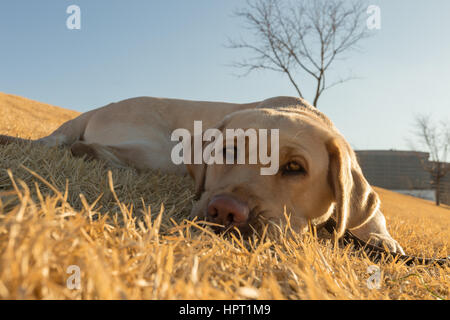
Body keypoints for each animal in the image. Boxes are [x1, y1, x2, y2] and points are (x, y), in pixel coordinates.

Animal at [0, 95, 404, 252]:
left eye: (294, 168)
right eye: (229, 150)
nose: (225, 211)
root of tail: (97, 108)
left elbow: (371, 218)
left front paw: (381, 240)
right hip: (165, 152)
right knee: (87, 149)